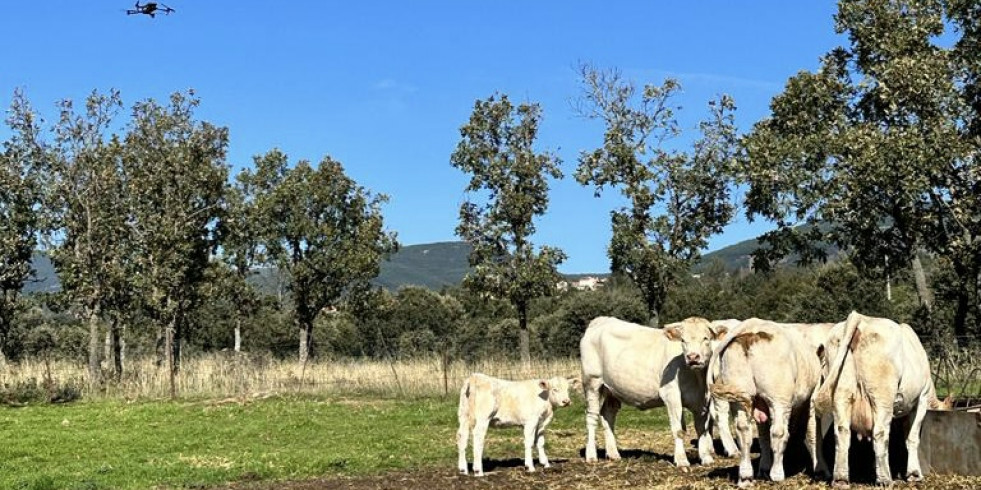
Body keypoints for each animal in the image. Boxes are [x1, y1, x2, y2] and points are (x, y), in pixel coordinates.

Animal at [576, 316, 728, 468]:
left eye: (706, 338)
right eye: (683, 340)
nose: (692, 357)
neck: (696, 377)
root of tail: (601, 320)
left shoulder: (702, 400)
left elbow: (702, 429)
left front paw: (706, 458)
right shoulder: (671, 395)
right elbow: (679, 430)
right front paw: (681, 460)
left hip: (612, 389)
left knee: (608, 414)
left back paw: (613, 454)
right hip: (592, 382)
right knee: (592, 417)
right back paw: (591, 455)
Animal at [704, 318, 828, 486]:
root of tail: (751, 326)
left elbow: (763, 436)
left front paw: (763, 468)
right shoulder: (812, 398)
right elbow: (813, 433)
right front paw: (820, 470)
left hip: (740, 394)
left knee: (743, 431)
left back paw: (746, 476)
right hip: (779, 398)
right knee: (778, 432)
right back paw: (777, 474)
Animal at [812, 312, 940, 484]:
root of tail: (861, 318)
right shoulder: (921, 399)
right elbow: (912, 438)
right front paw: (914, 474)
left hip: (841, 391)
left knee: (842, 431)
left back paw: (841, 479)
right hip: (881, 395)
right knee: (880, 433)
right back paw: (885, 479)